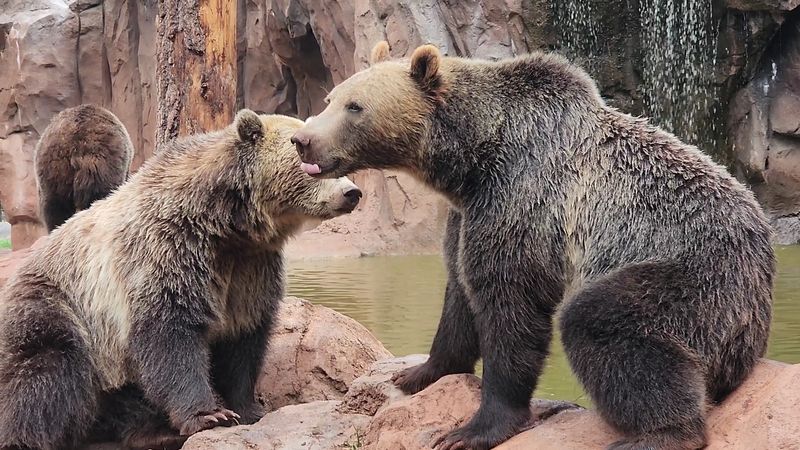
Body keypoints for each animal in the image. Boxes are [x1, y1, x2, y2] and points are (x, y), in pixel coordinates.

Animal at [289, 41, 775, 450]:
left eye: (355, 106)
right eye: (332, 97)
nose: (302, 140)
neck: (474, 158)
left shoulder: (525, 196)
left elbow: (511, 304)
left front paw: (472, 430)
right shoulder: (467, 213)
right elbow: (459, 291)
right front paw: (418, 373)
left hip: (697, 277)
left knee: (608, 325)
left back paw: (658, 435)